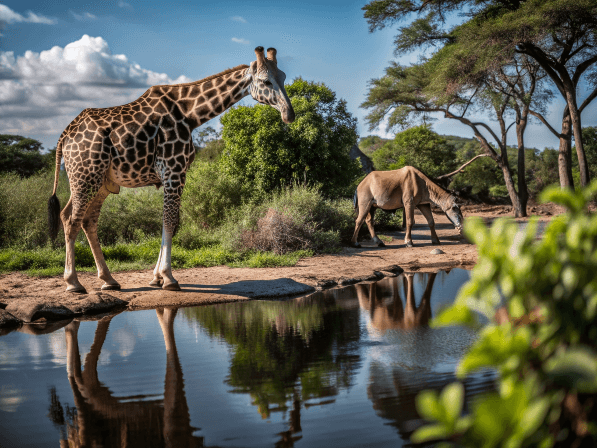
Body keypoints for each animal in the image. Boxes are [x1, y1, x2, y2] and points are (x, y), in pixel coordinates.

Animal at [47, 47, 294, 292]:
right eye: (265, 81)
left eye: (283, 77)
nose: (289, 114)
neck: (191, 114)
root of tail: (64, 137)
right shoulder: (174, 170)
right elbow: (170, 221)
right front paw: (168, 278)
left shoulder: (174, 173)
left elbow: (170, 223)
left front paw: (157, 277)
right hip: (86, 175)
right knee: (72, 220)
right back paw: (73, 283)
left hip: (99, 182)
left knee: (84, 220)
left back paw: (108, 280)